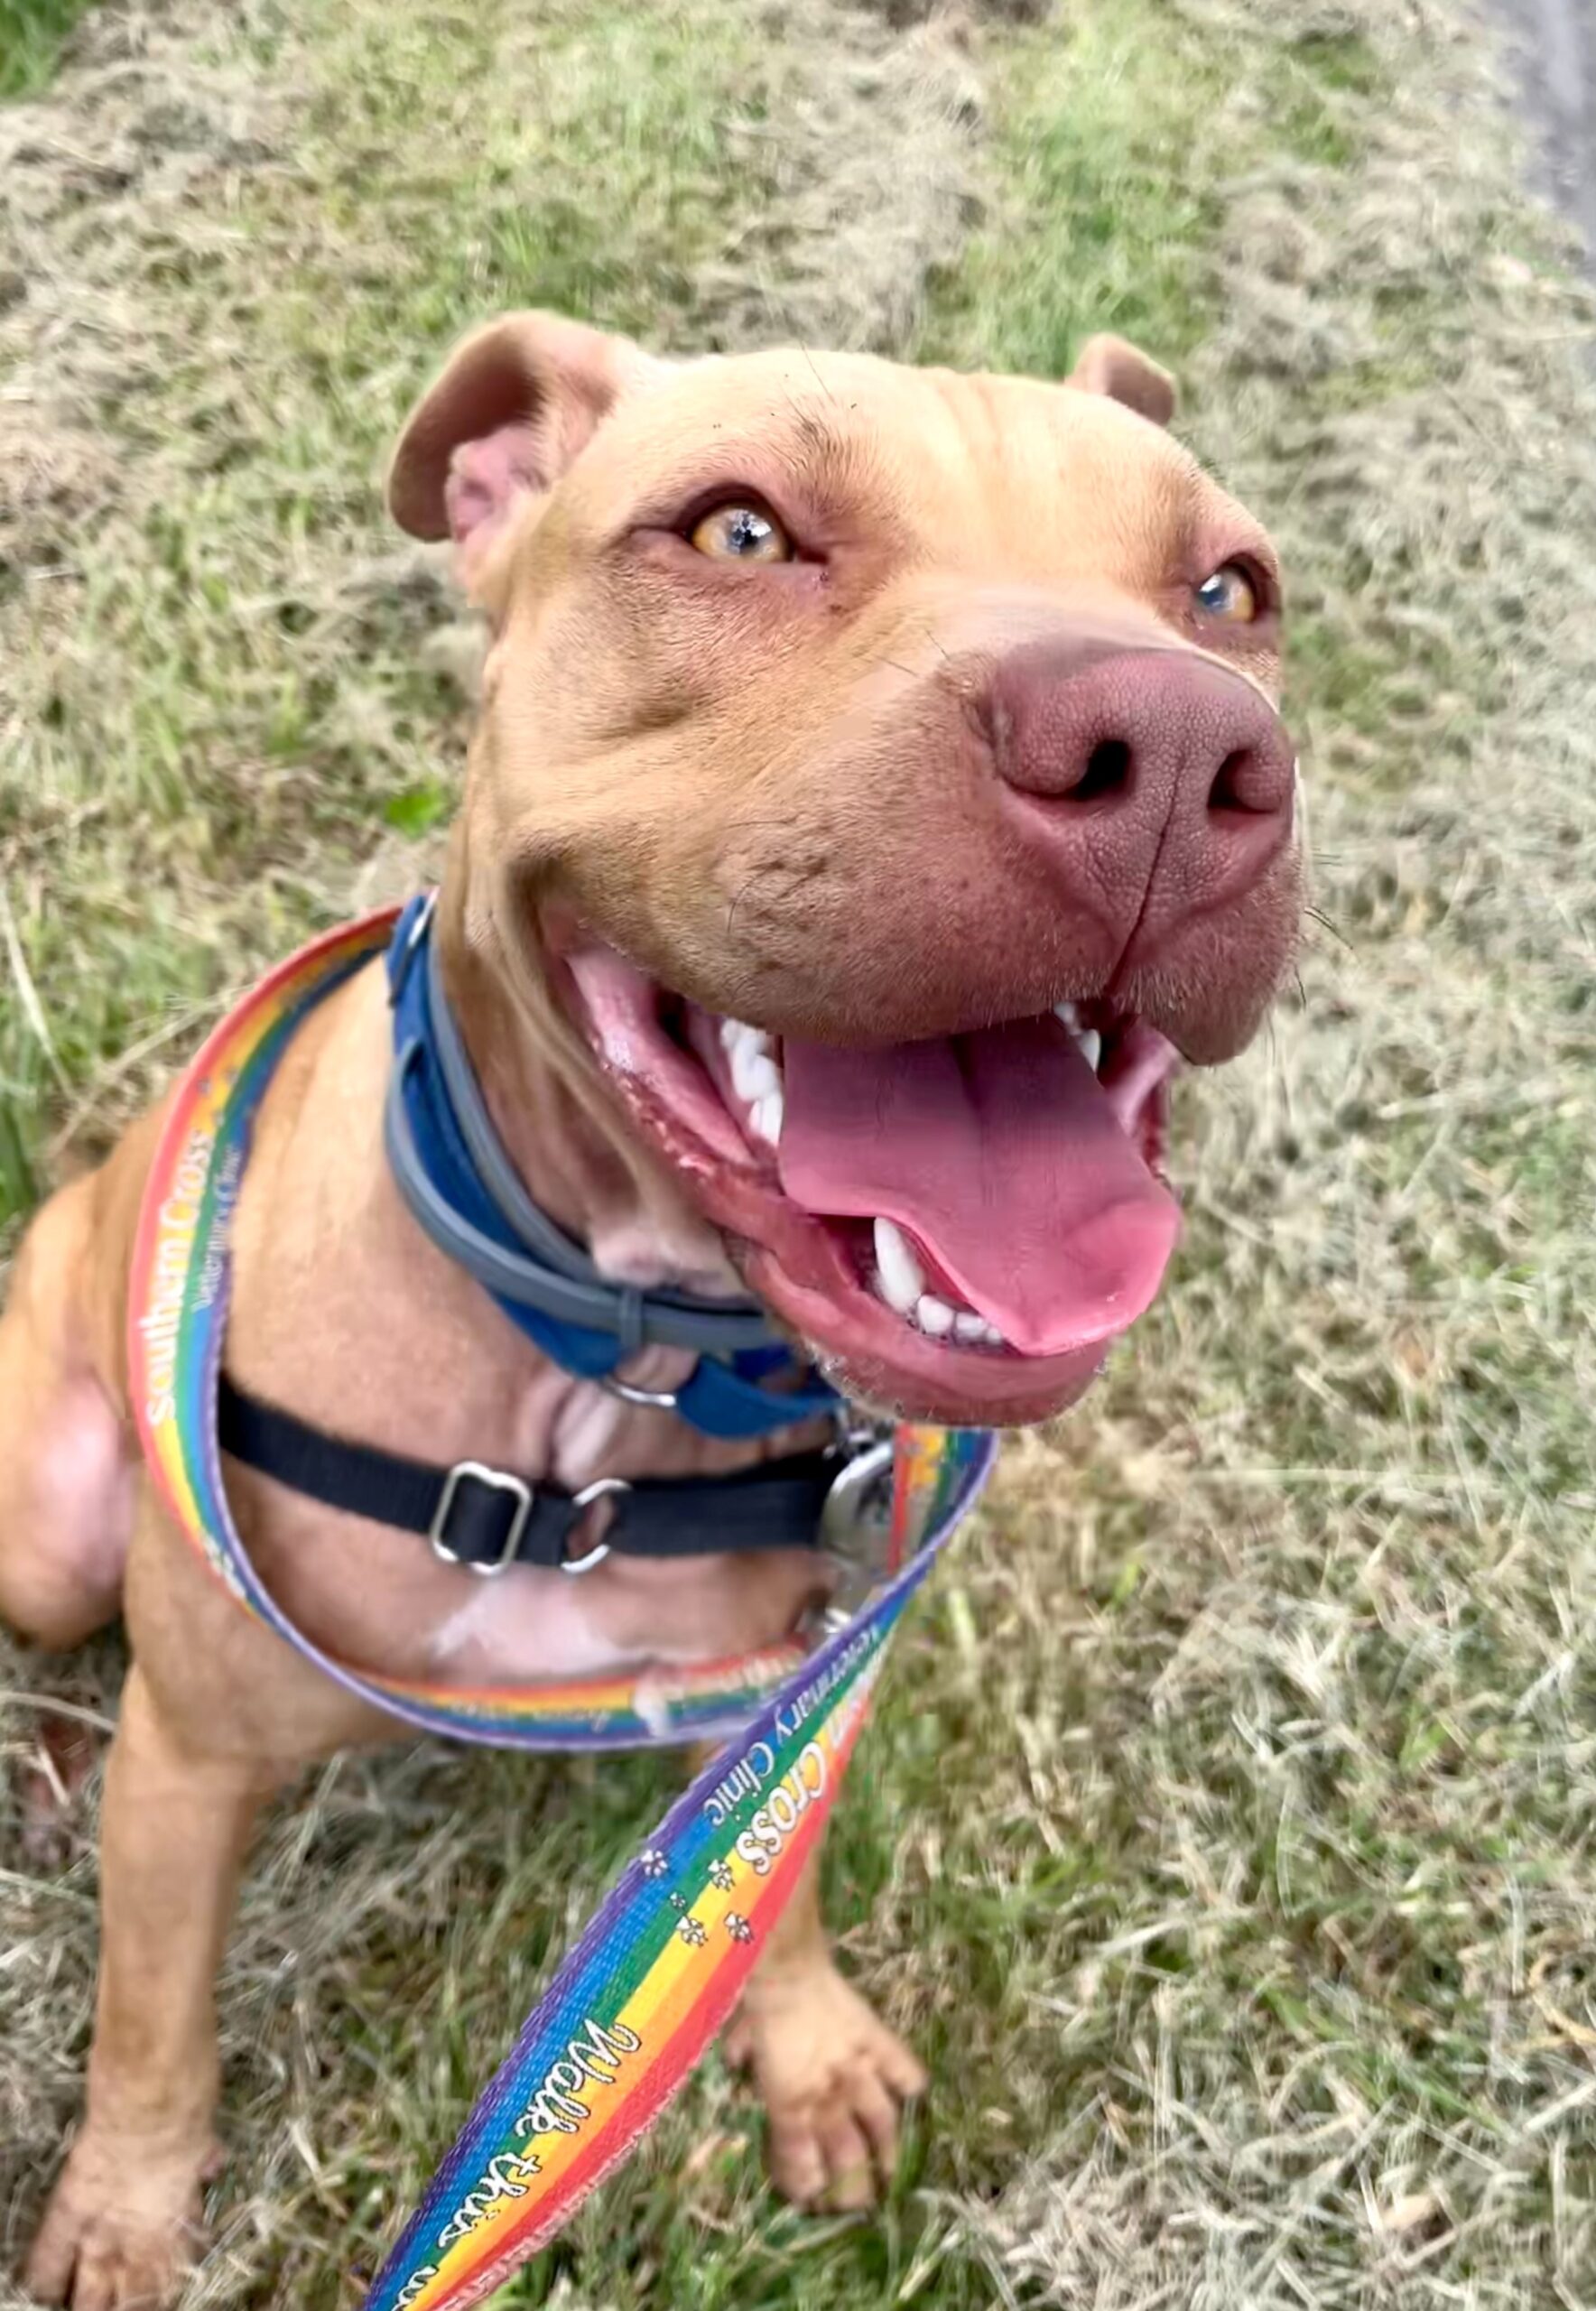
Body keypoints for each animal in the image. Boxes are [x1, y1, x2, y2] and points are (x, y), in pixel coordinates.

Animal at [1, 311, 1301, 2309]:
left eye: (1227, 586)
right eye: (739, 531)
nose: (1171, 750)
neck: (611, 1365)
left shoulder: (778, 1680)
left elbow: (771, 1869)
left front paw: (809, 2042)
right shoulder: (191, 1760)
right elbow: (153, 2017)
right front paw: (124, 2214)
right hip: (51, 1536)